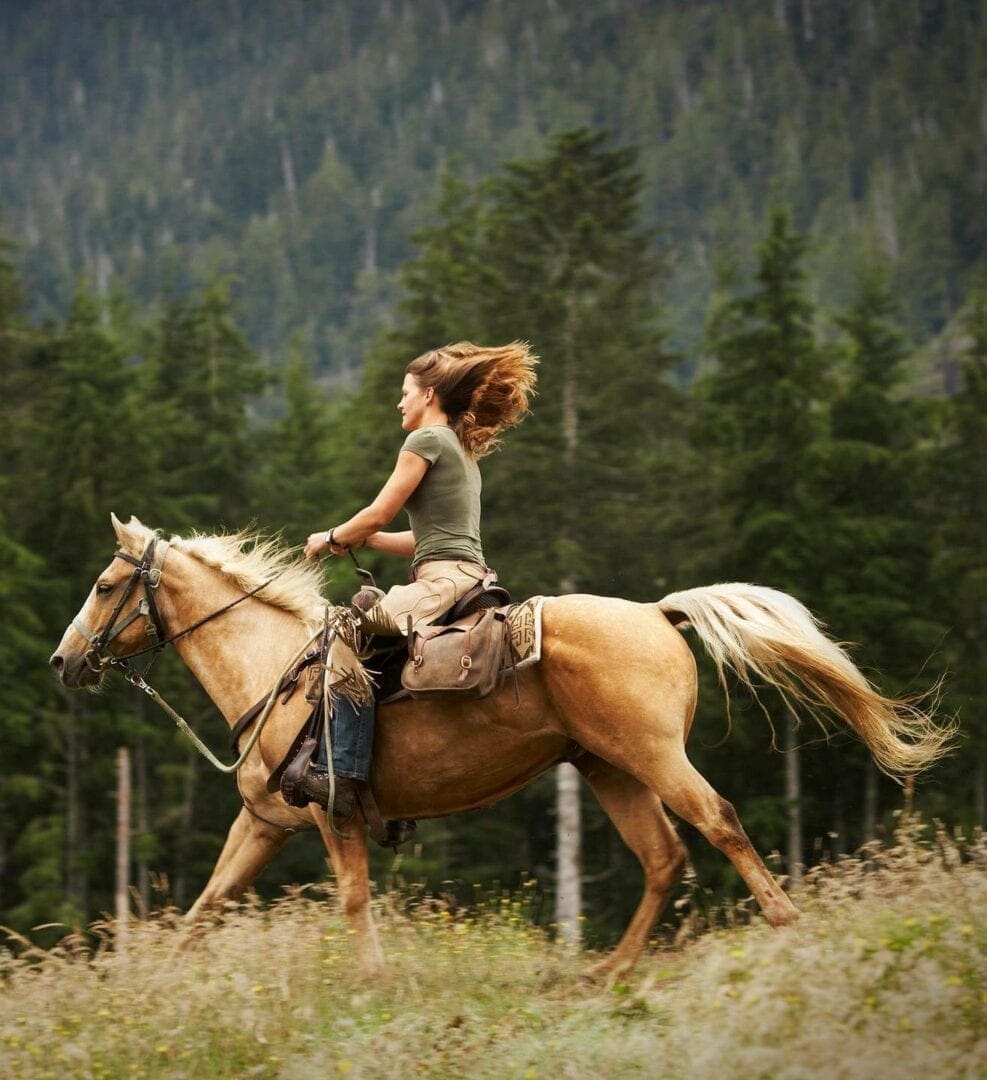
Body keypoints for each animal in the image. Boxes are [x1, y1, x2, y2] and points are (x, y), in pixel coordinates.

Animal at [49, 514, 950, 980]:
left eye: (104, 584)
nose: (63, 662)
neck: (278, 671)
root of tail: (656, 612)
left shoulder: (333, 816)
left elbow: (352, 900)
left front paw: (373, 984)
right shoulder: (265, 823)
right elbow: (206, 905)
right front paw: (155, 985)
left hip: (655, 758)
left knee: (718, 823)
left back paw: (785, 925)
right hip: (608, 769)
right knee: (663, 859)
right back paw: (605, 971)